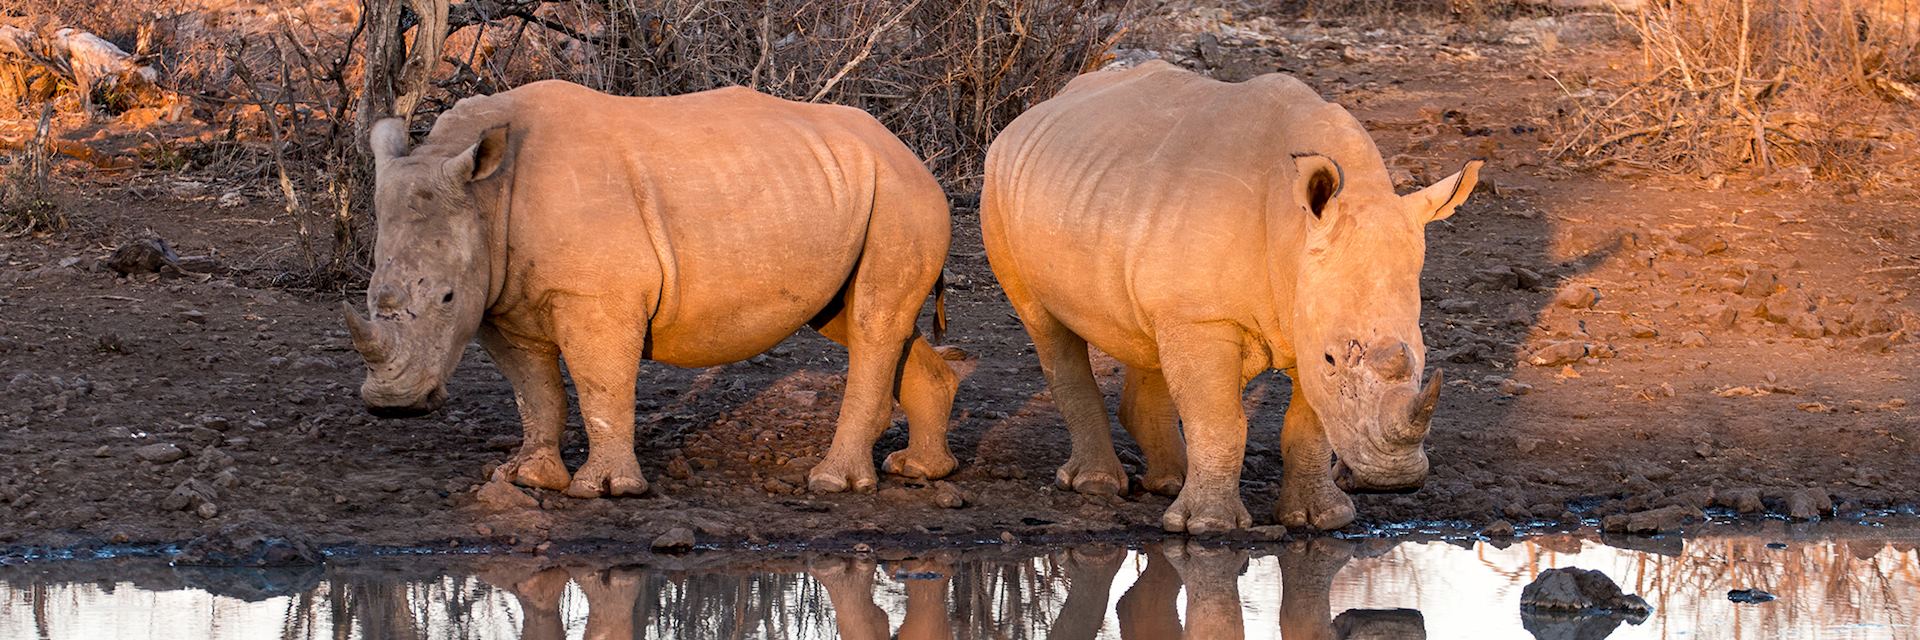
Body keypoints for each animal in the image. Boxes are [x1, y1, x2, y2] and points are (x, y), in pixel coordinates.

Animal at [345, 79, 960, 495]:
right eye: (371, 296)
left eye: (446, 298)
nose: (393, 406)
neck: (486, 196)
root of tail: (909, 151)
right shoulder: (500, 297)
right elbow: (534, 389)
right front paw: (528, 478)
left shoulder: (594, 297)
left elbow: (599, 384)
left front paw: (603, 490)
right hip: (852, 190)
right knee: (859, 320)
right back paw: (920, 470)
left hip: (902, 196)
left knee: (872, 323)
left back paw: (833, 483)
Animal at [983, 59, 1474, 530]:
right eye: (1332, 359)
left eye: (1423, 357)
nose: (1395, 478)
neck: (1293, 232)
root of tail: (1035, 112)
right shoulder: (1205, 316)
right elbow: (1219, 420)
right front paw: (1207, 526)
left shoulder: (1301, 312)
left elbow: (1308, 424)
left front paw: (1322, 519)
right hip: (999, 188)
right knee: (1046, 327)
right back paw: (1098, 486)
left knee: (1148, 334)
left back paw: (1172, 481)